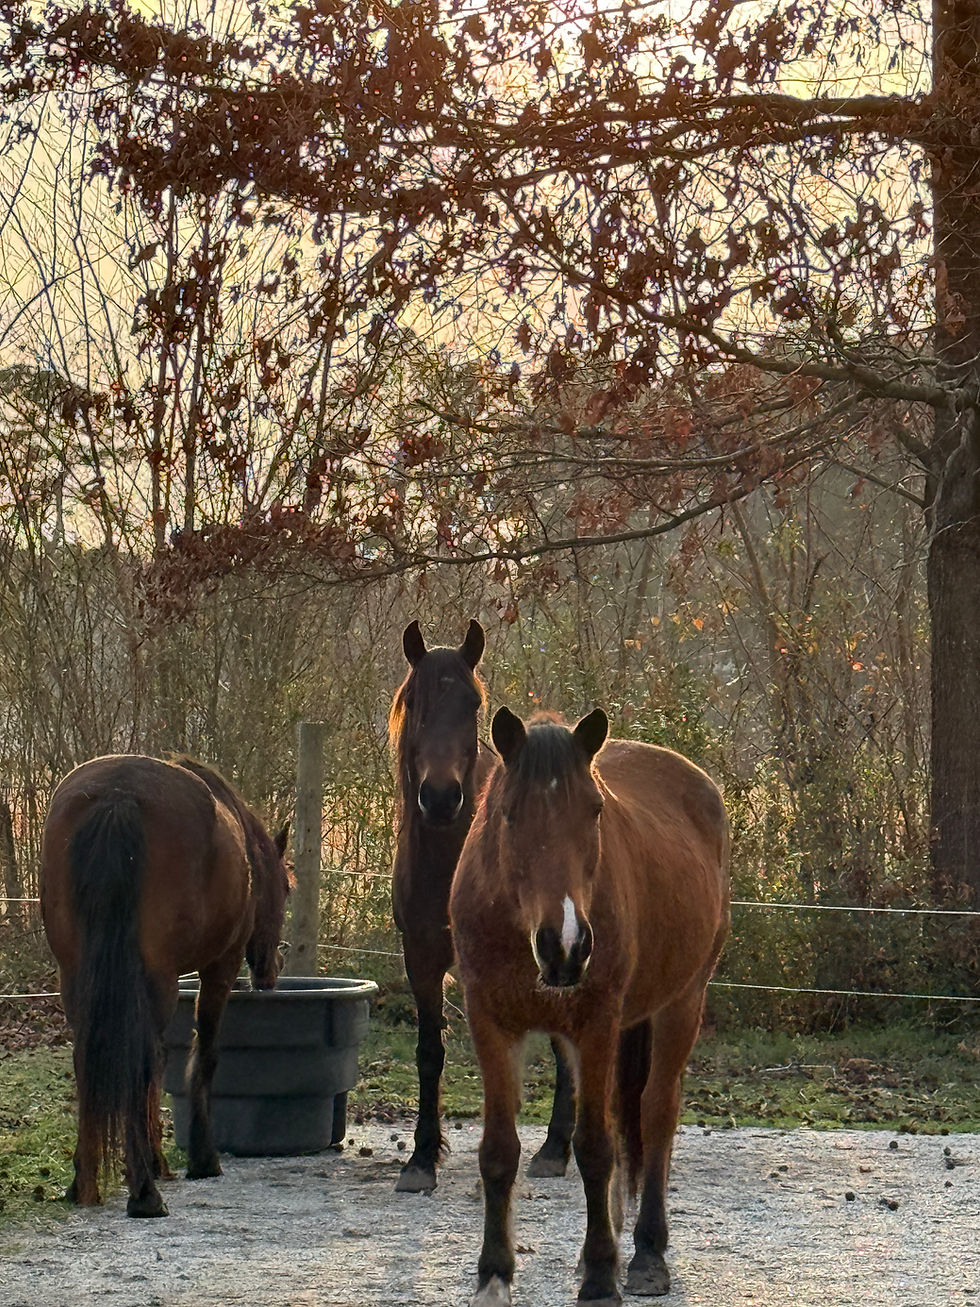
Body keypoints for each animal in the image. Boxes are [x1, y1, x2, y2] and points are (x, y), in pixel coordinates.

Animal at [40, 754, 290, 1218]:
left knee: (88, 1060)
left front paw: (158, 1160)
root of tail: (117, 796)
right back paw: (143, 1194)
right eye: (285, 887)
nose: (271, 969)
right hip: (160, 979)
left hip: (77, 978)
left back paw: (85, 1183)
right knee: (138, 1061)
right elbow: (202, 1056)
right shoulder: (219, 967)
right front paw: (201, 1160)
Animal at [389, 619, 577, 1192]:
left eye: (472, 703)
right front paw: (421, 1158)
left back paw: (558, 1147)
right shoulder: (421, 957)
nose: (441, 797)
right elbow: (430, 1051)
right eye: (415, 701)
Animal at [450, 707, 730, 1305]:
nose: (566, 944)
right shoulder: (491, 1025)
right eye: (510, 812)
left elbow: (597, 1148)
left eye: (595, 809)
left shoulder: (596, 1023)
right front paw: (494, 1273)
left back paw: (646, 1253)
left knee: (655, 1113)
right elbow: (498, 1150)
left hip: (682, 1003)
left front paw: (603, 1274)